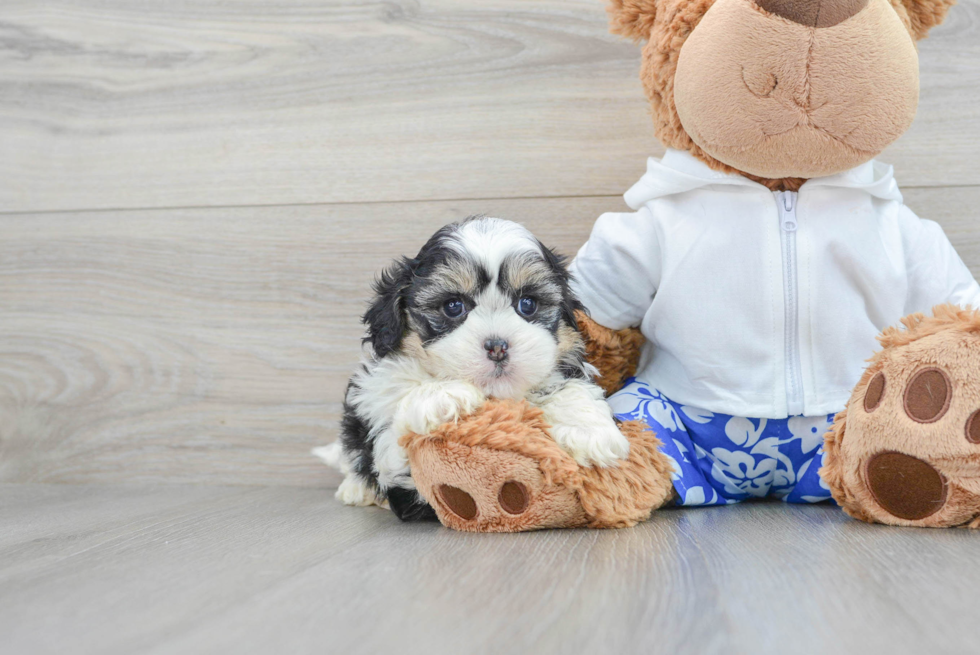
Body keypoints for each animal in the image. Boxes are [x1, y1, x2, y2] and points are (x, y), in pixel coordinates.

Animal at [316, 218, 636, 520]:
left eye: (528, 304)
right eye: (453, 306)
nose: (497, 346)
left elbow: (571, 387)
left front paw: (591, 432)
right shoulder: (387, 444)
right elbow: (398, 422)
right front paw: (442, 395)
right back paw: (354, 488)